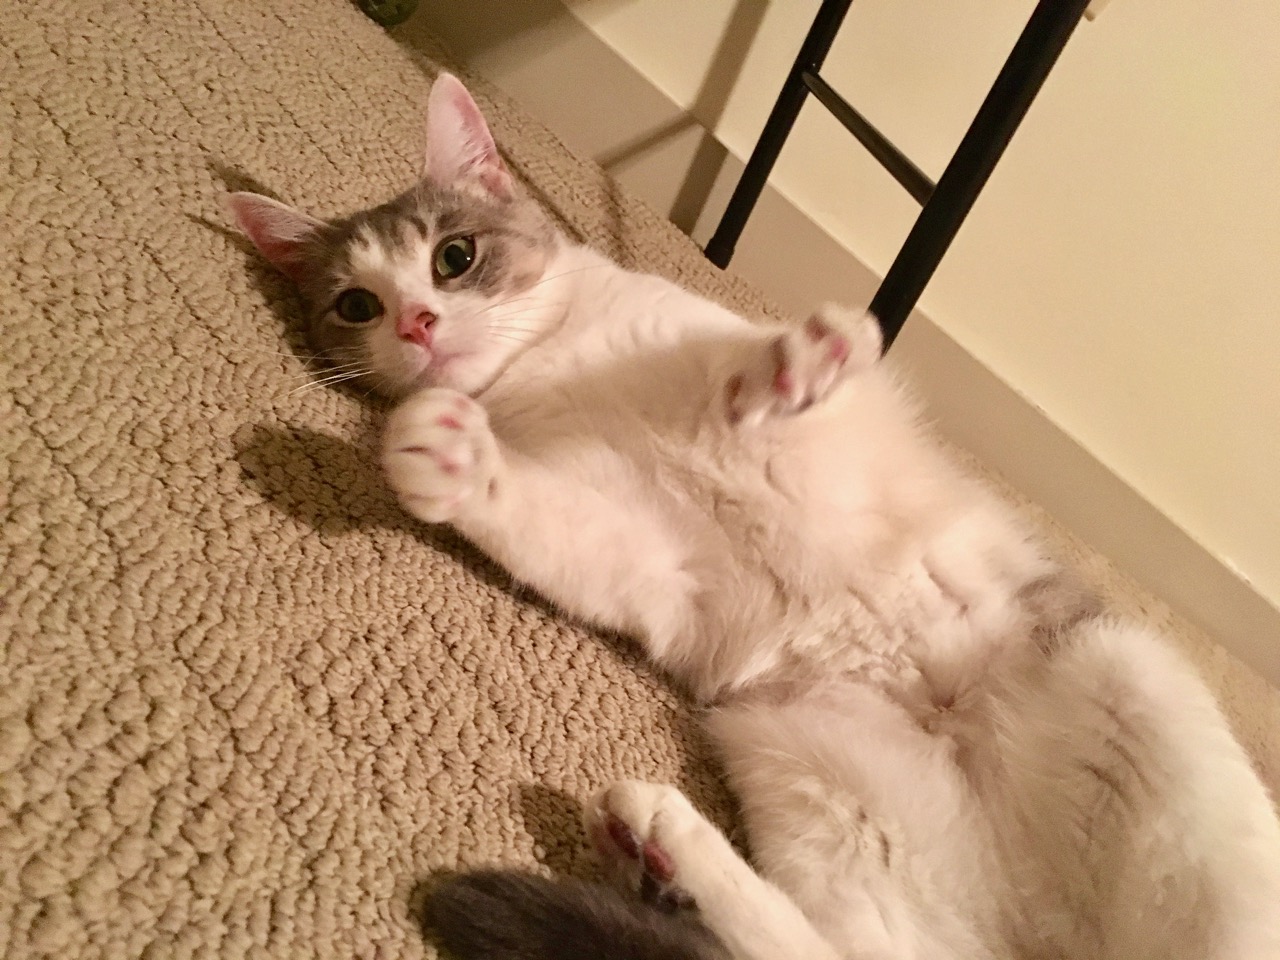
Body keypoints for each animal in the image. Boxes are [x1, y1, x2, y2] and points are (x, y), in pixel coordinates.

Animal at [229, 73, 1280, 960]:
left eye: (455, 257)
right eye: (357, 305)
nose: (416, 325)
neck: (554, 370)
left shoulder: (740, 387)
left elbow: (755, 381)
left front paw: (800, 361)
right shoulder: (646, 562)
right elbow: (541, 519)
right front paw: (439, 456)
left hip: (1134, 700)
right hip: (818, 782)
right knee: (835, 954)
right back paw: (660, 845)